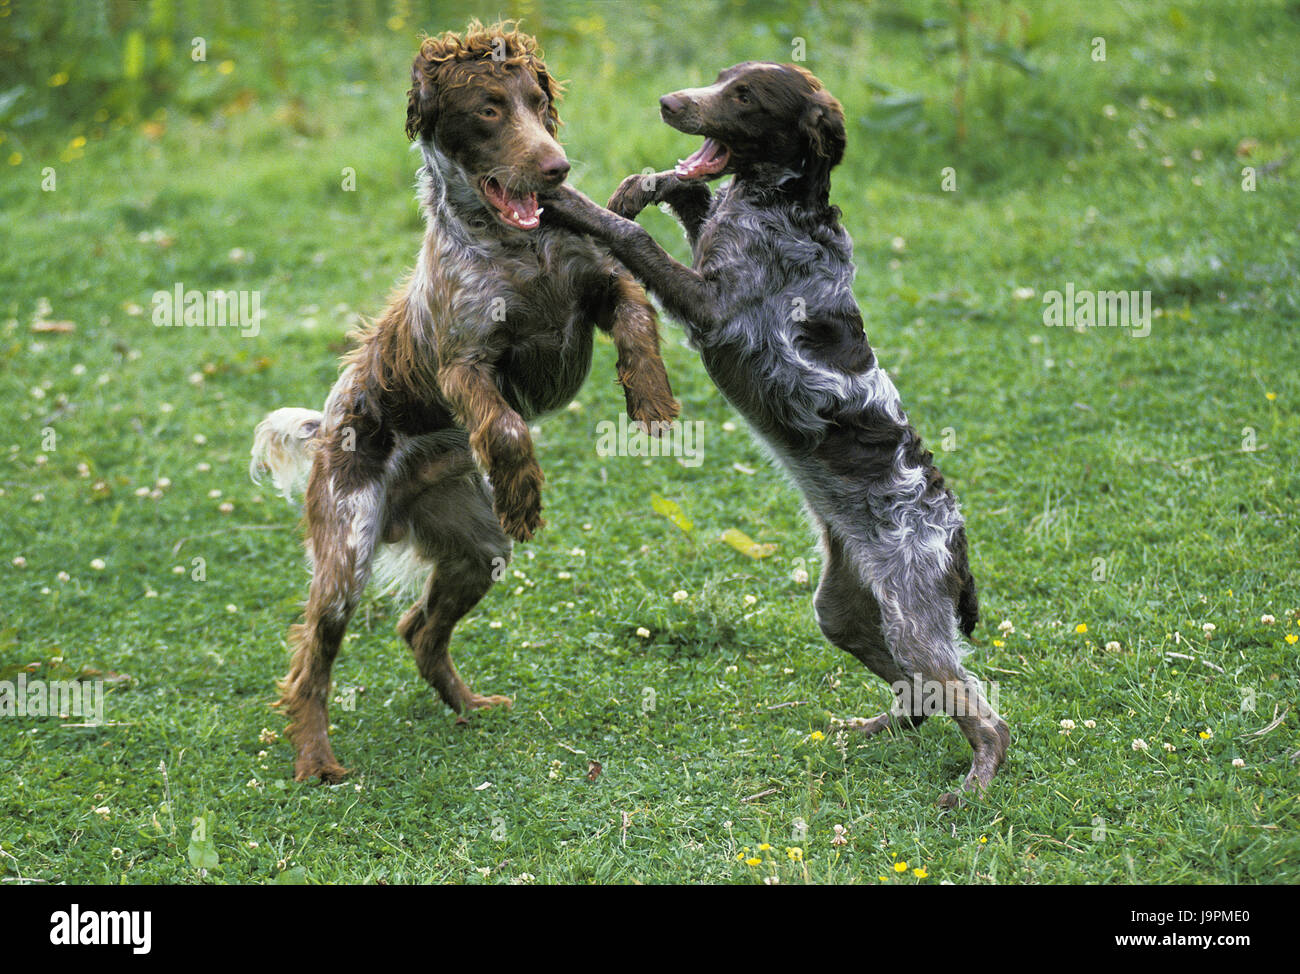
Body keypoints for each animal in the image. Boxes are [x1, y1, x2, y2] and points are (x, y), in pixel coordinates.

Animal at [250, 20, 681, 780]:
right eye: (487, 109)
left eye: (537, 102)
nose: (557, 169)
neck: (518, 245)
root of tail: (328, 425)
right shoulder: (466, 362)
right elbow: (506, 428)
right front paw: (525, 491)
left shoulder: (604, 286)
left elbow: (636, 325)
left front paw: (651, 403)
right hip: (346, 555)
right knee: (311, 666)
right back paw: (317, 760)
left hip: (477, 549)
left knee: (419, 629)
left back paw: (468, 705)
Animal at [543, 62, 1008, 806]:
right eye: (720, 78)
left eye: (744, 96)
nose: (669, 102)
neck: (780, 205)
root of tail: (954, 534)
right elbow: (689, 195)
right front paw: (647, 183)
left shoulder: (714, 307)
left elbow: (633, 238)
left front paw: (573, 201)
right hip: (842, 610)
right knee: (919, 697)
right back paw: (872, 728)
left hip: (913, 622)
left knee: (985, 717)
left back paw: (974, 785)